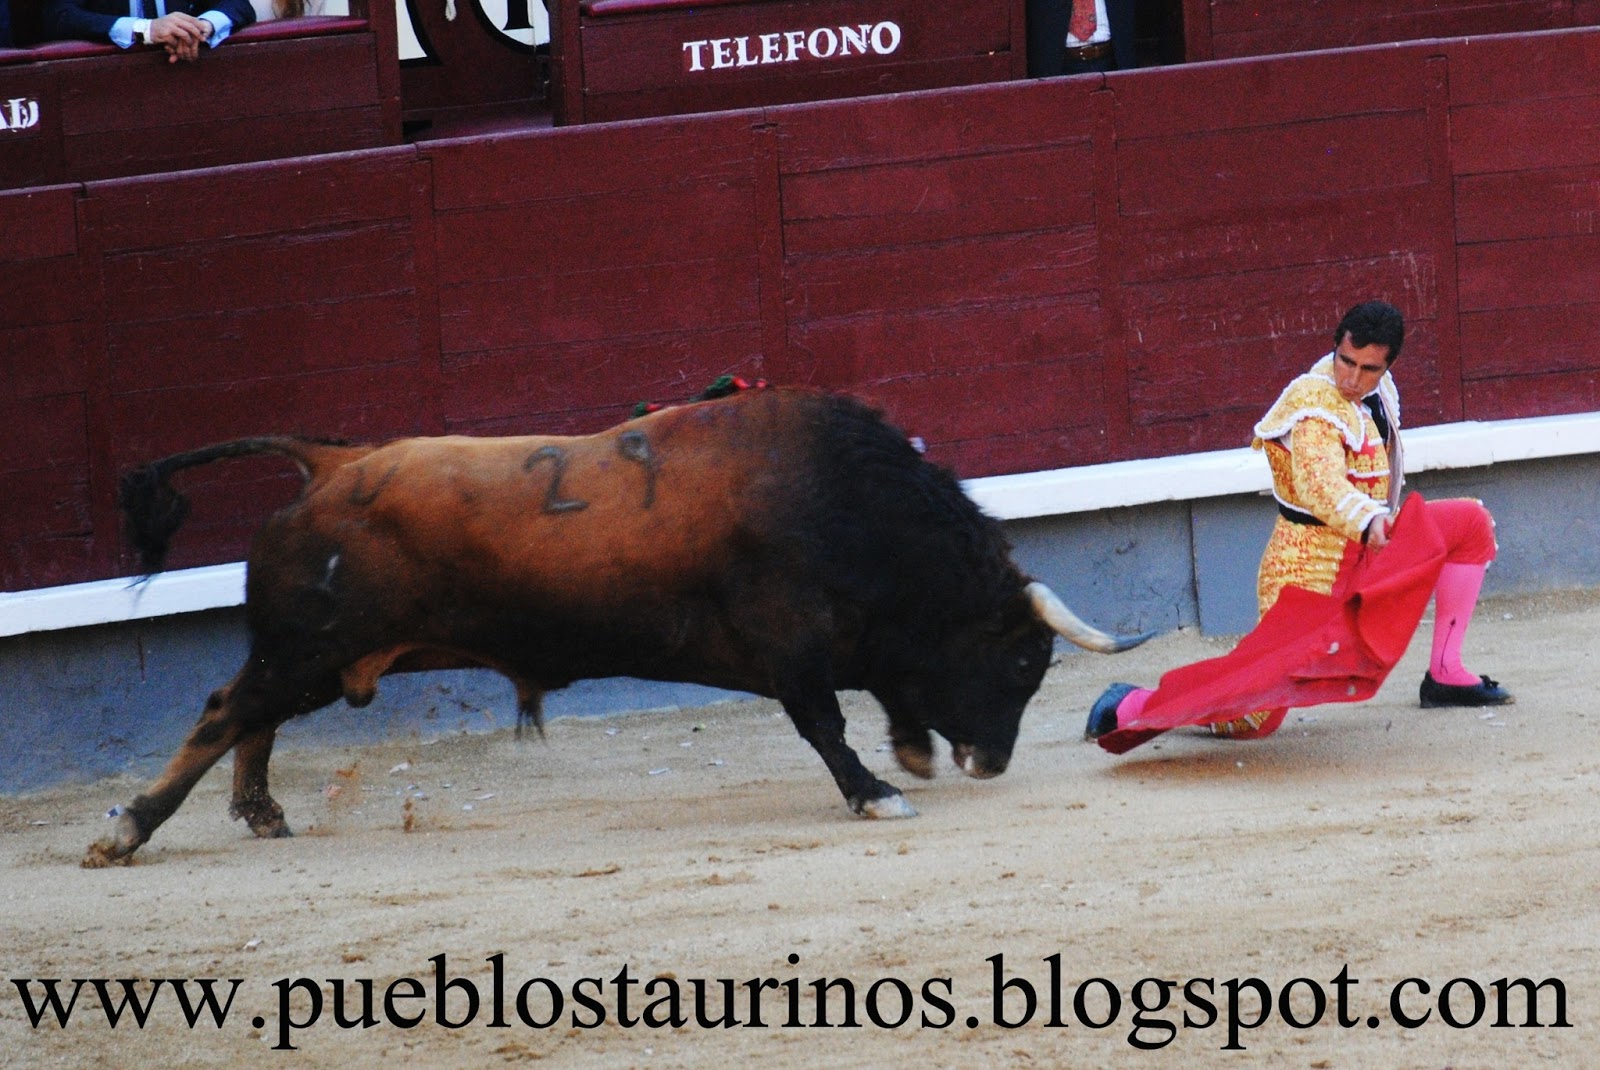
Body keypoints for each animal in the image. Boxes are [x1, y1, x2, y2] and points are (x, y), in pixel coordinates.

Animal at [84, 386, 1150, 866]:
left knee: (247, 710)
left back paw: (261, 812)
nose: (992, 762)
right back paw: (129, 829)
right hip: (313, 646)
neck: (846, 504)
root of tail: (331, 463)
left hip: (321, 654)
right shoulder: (792, 648)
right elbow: (827, 727)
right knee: (225, 710)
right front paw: (879, 792)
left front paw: (913, 755)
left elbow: (881, 696)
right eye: (1022, 660)